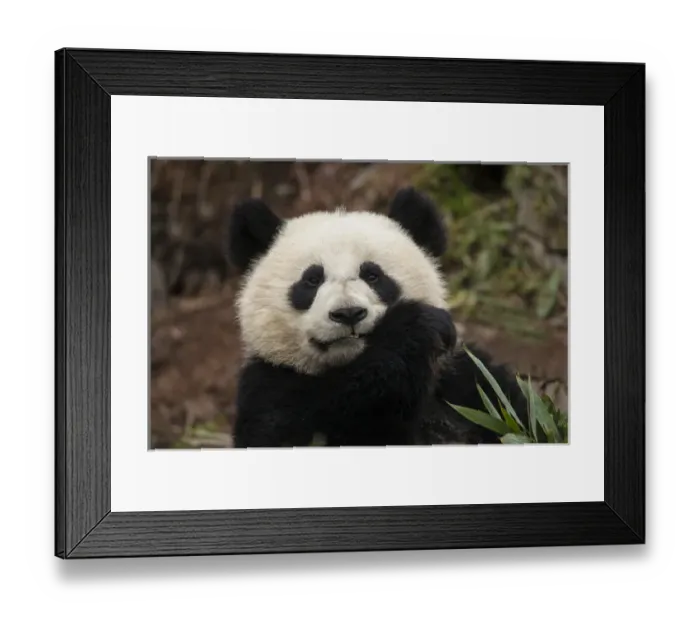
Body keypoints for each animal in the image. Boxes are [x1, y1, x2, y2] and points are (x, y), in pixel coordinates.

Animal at [227, 187, 527, 448]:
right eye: (311, 280)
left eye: (373, 275)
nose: (348, 313)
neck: (352, 364)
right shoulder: (268, 387)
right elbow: (298, 429)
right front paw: (412, 329)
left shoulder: (466, 380)